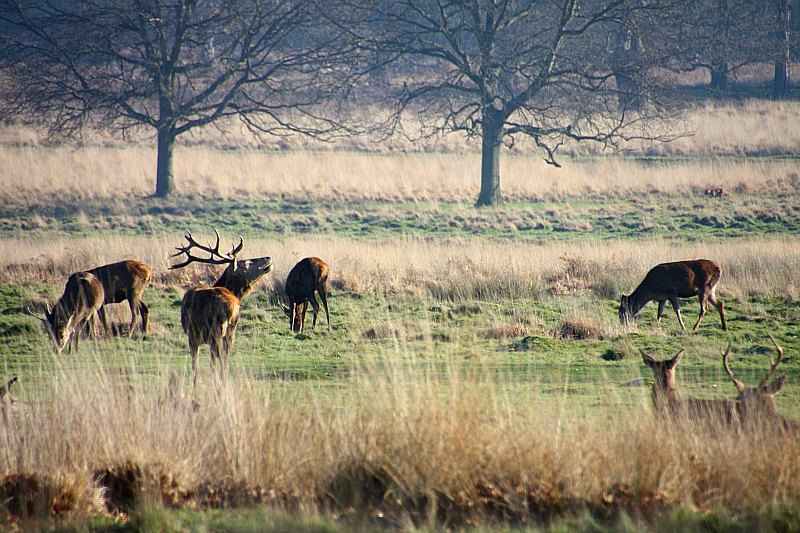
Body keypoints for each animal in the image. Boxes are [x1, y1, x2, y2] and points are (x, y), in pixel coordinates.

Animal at [169, 229, 272, 386]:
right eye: (246, 263)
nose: (268, 257)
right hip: (225, 330)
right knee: (222, 357)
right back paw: (221, 381)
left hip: (204, 332)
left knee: (206, 360)